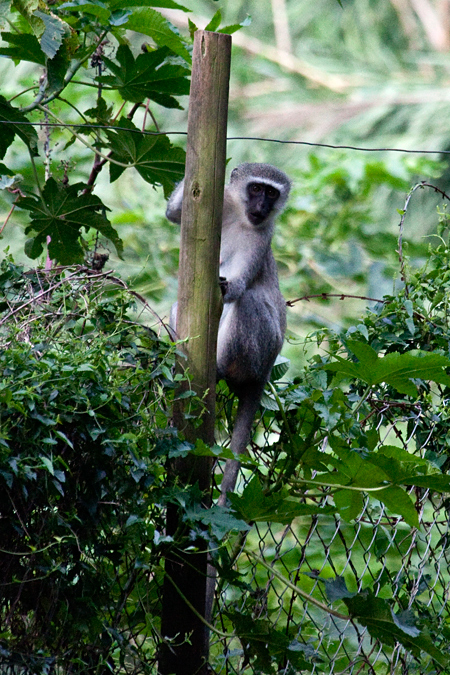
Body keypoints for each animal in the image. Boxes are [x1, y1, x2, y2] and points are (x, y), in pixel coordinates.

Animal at [166, 164, 292, 504]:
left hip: (262, 351)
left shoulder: (261, 238)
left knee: (247, 302)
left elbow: (236, 288)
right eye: (256, 189)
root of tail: (266, 371)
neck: (241, 218)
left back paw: (219, 369)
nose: (262, 207)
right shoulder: (219, 205)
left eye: (271, 193)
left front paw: (228, 286)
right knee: (179, 305)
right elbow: (175, 214)